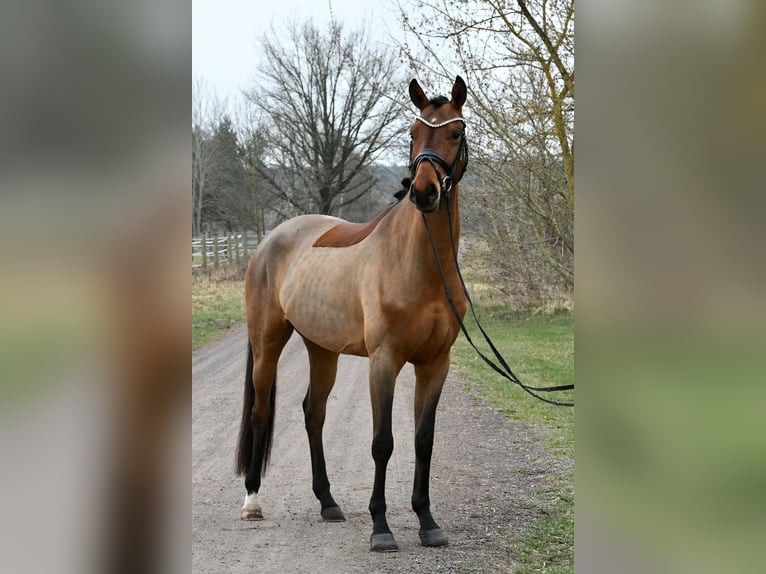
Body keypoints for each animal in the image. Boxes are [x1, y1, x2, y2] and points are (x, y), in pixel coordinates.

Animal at [236, 76, 469, 552]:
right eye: (413, 133)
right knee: (261, 413)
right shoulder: (384, 361)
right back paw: (252, 501)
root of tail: (270, 239)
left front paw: (427, 522)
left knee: (313, 412)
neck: (419, 264)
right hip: (267, 343)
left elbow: (423, 441)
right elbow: (383, 443)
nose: (423, 192)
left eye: (455, 133)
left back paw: (328, 502)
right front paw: (381, 528)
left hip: (321, 348)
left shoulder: (435, 364)